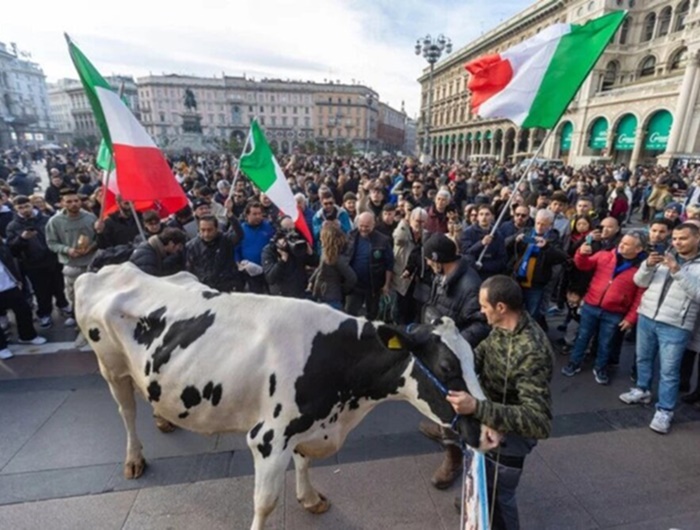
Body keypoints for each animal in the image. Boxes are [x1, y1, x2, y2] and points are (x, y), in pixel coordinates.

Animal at [74, 264, 484, 528]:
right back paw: (133, 459)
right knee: (126, 410)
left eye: (475, 359)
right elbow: (266, 502)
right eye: (448, 366)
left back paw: (163, 417)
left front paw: (310, 498)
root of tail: (106, 270)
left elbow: (304, 462)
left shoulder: (307, 425)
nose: (487, 432)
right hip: (110, 366)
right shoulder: (268, 438)